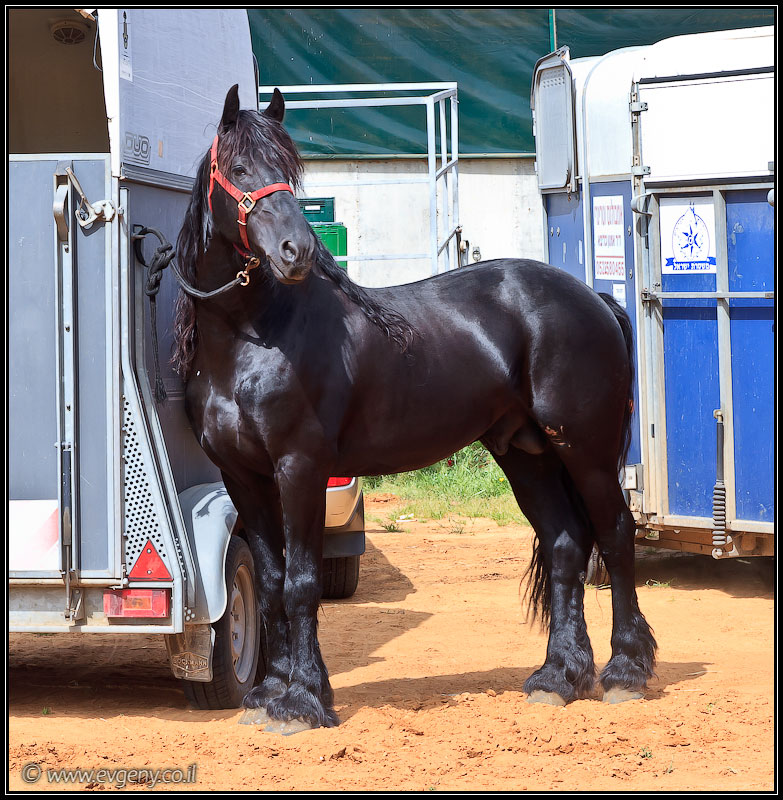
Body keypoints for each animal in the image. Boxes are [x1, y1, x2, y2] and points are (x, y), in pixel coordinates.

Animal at [172, 84, 657, 728]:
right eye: (241, 169)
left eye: (290, 170)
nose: (296, 251)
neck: (254, 337)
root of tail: (594, 298)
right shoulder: (243, 475)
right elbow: (272, 579)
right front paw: (270, 691)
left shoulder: (300, 467)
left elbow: (301, 581)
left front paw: (303, 700)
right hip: (526, 455)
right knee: (565, 544)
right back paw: (559, 676)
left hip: (587, 450)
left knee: (616, 535)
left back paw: (626, 670)